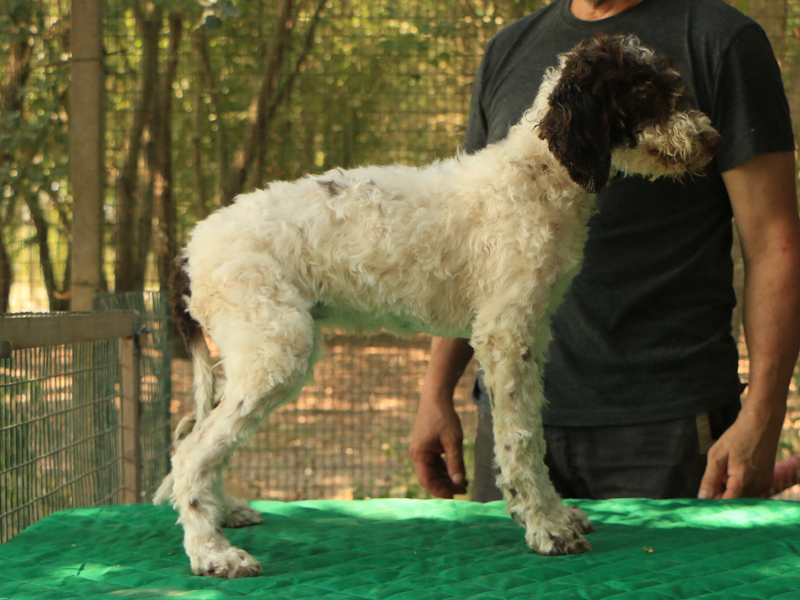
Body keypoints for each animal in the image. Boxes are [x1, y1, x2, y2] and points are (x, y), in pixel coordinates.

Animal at [156, 34, 724, 576]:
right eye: (646, 93)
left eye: (673, 86)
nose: (714, 140)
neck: (535, 176)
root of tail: (191, 247)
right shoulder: (505, 333)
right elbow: (519, 439)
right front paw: (545, 528)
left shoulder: (531, 333)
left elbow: (532, 434)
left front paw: (552, 513)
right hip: (276, 349)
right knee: (191, 454)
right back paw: (212, 552)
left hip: (255, 350)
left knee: (197, 442)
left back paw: (224, 512)